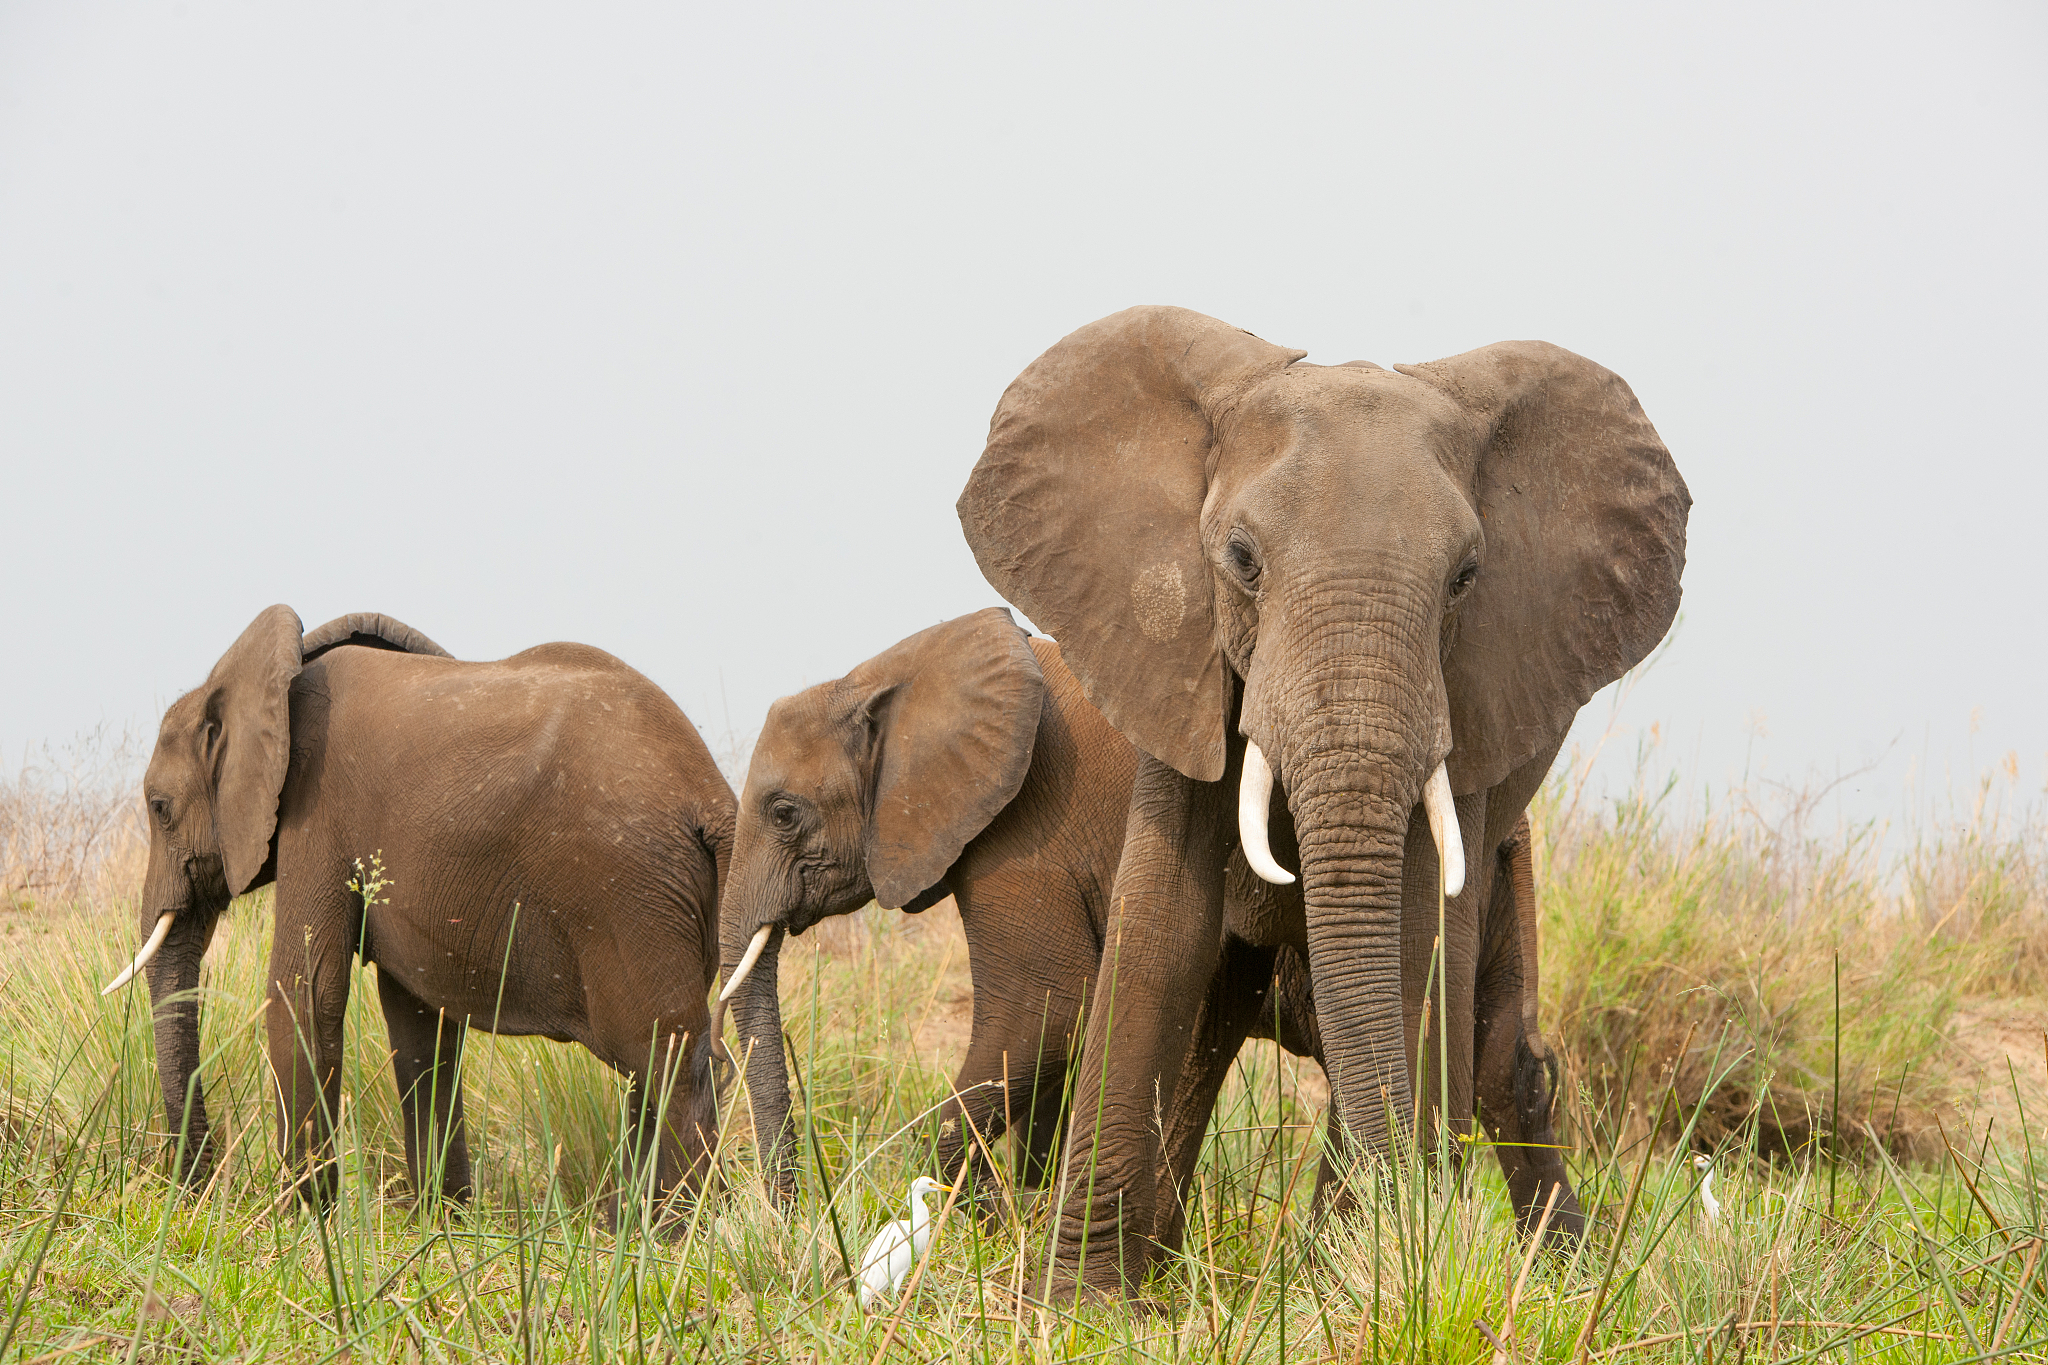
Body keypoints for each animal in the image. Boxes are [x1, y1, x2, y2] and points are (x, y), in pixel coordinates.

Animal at [109, 605, 736, 1214]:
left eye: (159, 808)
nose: (195, 1193)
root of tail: (715, 798)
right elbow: (417, 1023)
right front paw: (441, 1219)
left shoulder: (318, 810)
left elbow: (305, 989)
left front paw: (301, 1221)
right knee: (647, 1069)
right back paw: (639, 1221)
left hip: (629, 897)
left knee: (665, 1057)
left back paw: (675, 1229)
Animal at [958, 305, 1689, 1296]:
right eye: (1241, 559)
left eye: (1466, 577)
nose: (1403, 1209)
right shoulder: (1175, 658)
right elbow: (1162, 929)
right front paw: (1083, 1303)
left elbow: (1417, 953)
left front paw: (1362, 1281)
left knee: (1492, 1048)